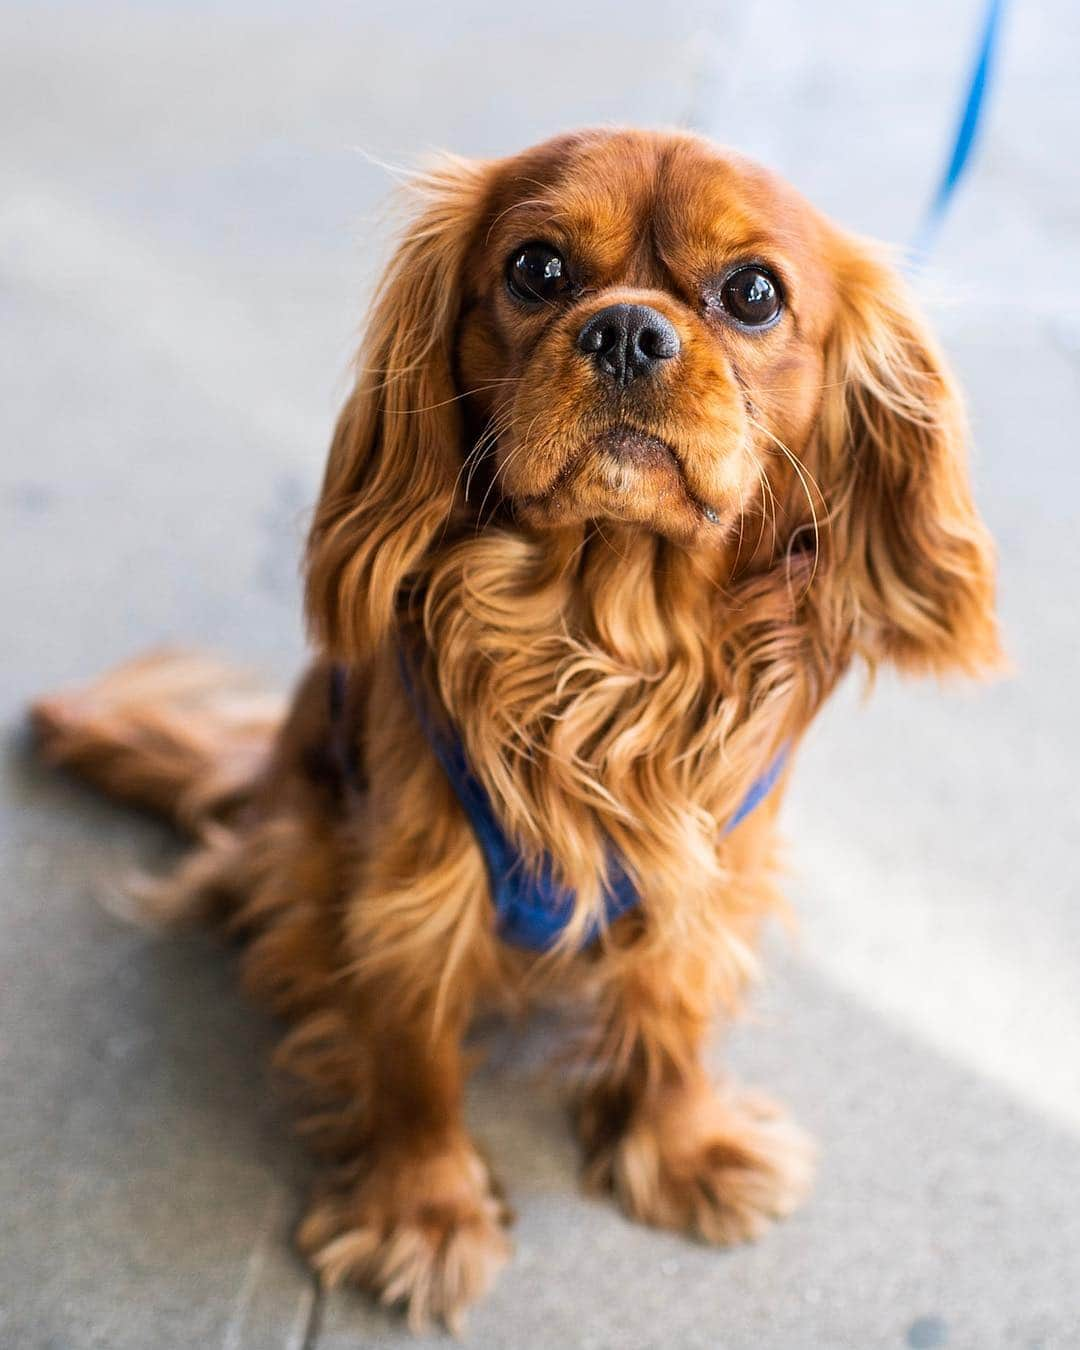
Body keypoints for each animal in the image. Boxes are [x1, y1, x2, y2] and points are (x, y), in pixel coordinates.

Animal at [31, 126, 993, 1328]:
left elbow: (675, 1018)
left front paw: (682, 1145)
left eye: (754, 293)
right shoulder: (413, 890)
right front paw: (423, 1212)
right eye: (537, 269)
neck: (607, 640)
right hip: (308, 830)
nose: (627, 330)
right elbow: (413, 1063)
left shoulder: (711, 872)